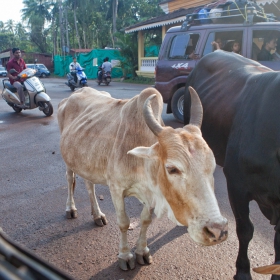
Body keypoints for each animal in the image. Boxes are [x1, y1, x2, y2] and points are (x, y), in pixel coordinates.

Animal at [57, 86, 228, 270]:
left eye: (212, 166)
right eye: (172, 168)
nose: (217, 230)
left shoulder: (151, 193)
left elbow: (146, 221)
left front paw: (142, 252)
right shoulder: (116, 188)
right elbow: (124, 222)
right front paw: (125, 256)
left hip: (85, 161)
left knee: (90, 185)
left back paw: (97, 215)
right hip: (68, 160)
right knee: (70, 179)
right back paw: (71, 209)